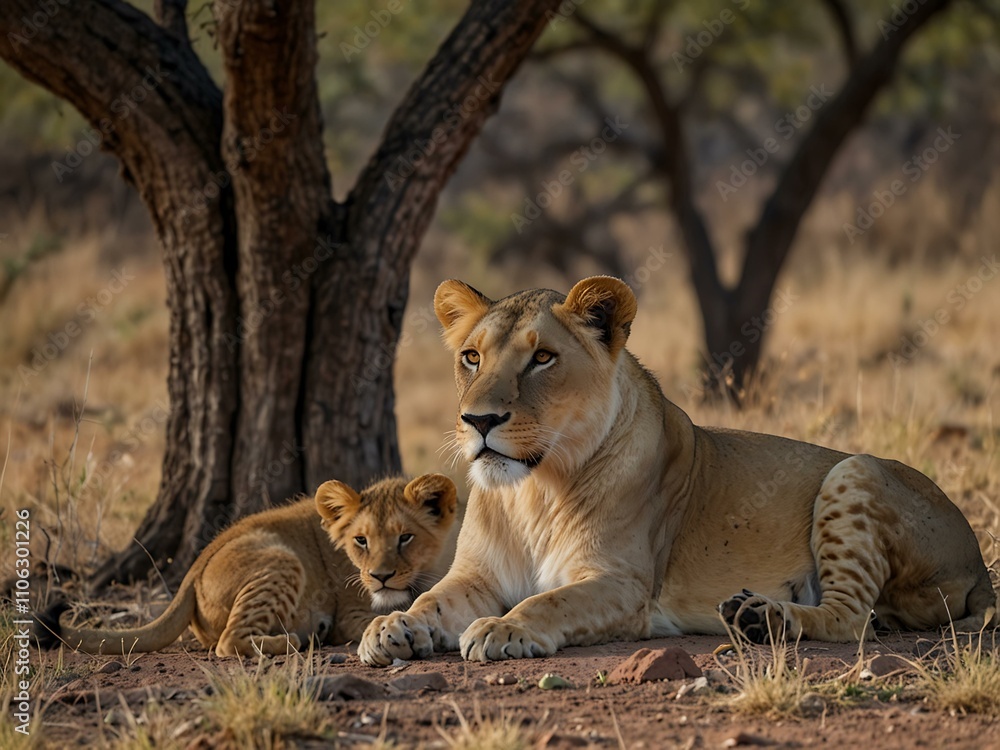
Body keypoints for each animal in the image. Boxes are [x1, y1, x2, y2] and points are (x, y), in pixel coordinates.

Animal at [37, 474, 457, 656]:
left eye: (405, 537)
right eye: (361, 541)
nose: (380, 577)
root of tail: (193, 569)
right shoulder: (350, 613)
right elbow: (391, 613)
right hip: (280, 559)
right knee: (228, 642)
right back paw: (295, 640)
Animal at [358, 276, 996, 665]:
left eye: (542, 358)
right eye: (471, 357)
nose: (479, 420)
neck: (532, 491)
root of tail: (977, 563)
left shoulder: (623, 585)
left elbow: (547, 602)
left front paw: (501, 630)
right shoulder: (478, 577)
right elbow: (430, 599)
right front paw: (390, 629)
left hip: (854, 469)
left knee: (851, 619)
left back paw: (761, 618)